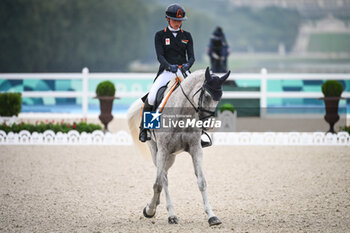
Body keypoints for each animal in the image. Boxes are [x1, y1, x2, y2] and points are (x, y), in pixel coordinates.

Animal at [127, 67, 231, 226]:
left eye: (219, 98)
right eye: (207, 96)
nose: (208, 125)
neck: (183, 112)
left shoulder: (196, 149)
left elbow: (202, 182)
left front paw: (212, 216)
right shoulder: (162, 150)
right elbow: (158, 184)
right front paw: (153, 211)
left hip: (171, 157)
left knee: (164, 176)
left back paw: (157, 205)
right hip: (156, 151)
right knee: (162, 179)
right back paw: (161, 211)